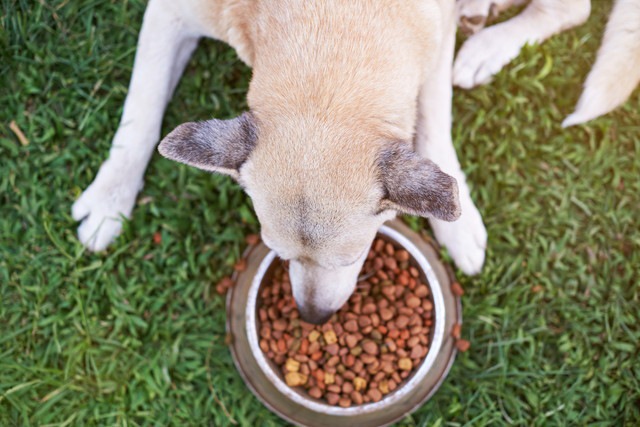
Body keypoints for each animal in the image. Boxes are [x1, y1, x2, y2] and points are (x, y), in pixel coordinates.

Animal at [72, 0, 488, 324]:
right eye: (278, 253)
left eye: (352, 258)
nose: (313, 317)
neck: (332, 30)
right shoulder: (167, 14)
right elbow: (141, 109)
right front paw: (109, 199)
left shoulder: (437, 44)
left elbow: (434, 120)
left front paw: (459, 225)